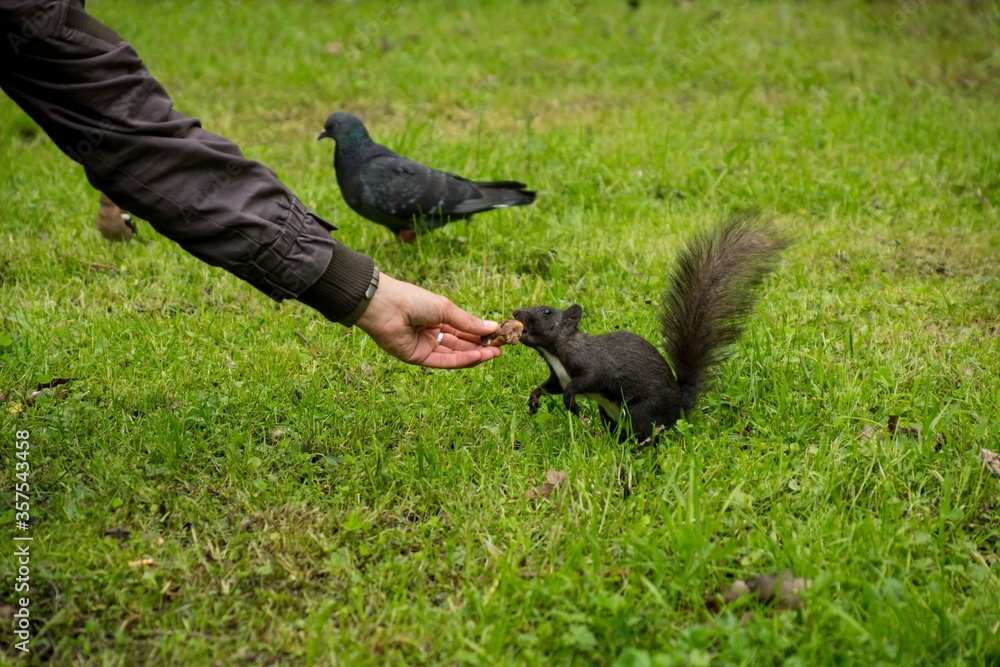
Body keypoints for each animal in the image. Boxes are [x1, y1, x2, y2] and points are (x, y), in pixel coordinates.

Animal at [512, 213, 789, 443]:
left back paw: (638, 449)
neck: (555, 353)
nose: (516, 313)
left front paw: (571, 402)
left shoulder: (594, 365)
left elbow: (585, 381)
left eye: (546, 311)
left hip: (642, 411)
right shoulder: (557, 376)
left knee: (648, 432)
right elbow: (550, 387)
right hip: (610, 414)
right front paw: (534, 399)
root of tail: (680, 403)